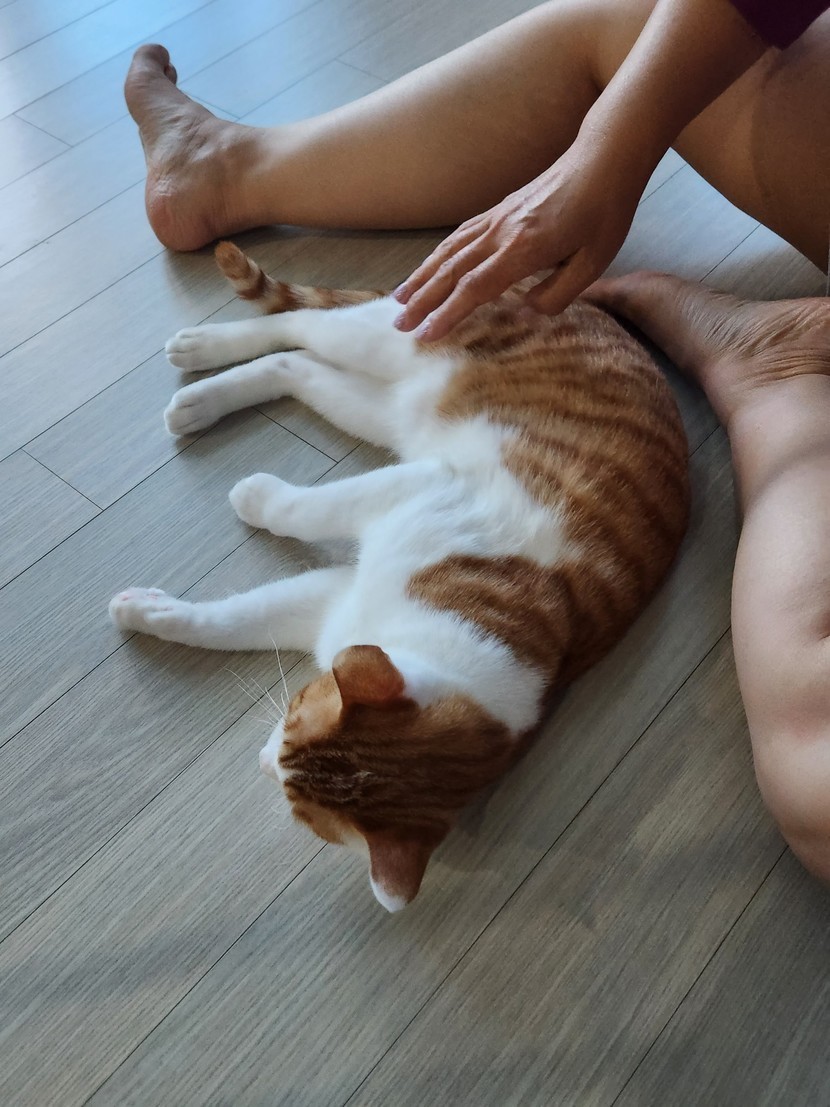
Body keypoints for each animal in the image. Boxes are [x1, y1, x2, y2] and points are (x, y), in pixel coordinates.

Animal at [109, 241, 690, 911]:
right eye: (296, 710)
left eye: (294, 795)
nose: (262, 762)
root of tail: (578, 300)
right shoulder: (429, 484)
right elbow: (306, 512)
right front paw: (254, 499)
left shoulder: (333, 603)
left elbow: (237, 619)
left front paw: (148, 611)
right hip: (396, 342)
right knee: (300, 324)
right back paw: (202, 349)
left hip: (384, 409)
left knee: (296, 365)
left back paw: (203, 399)